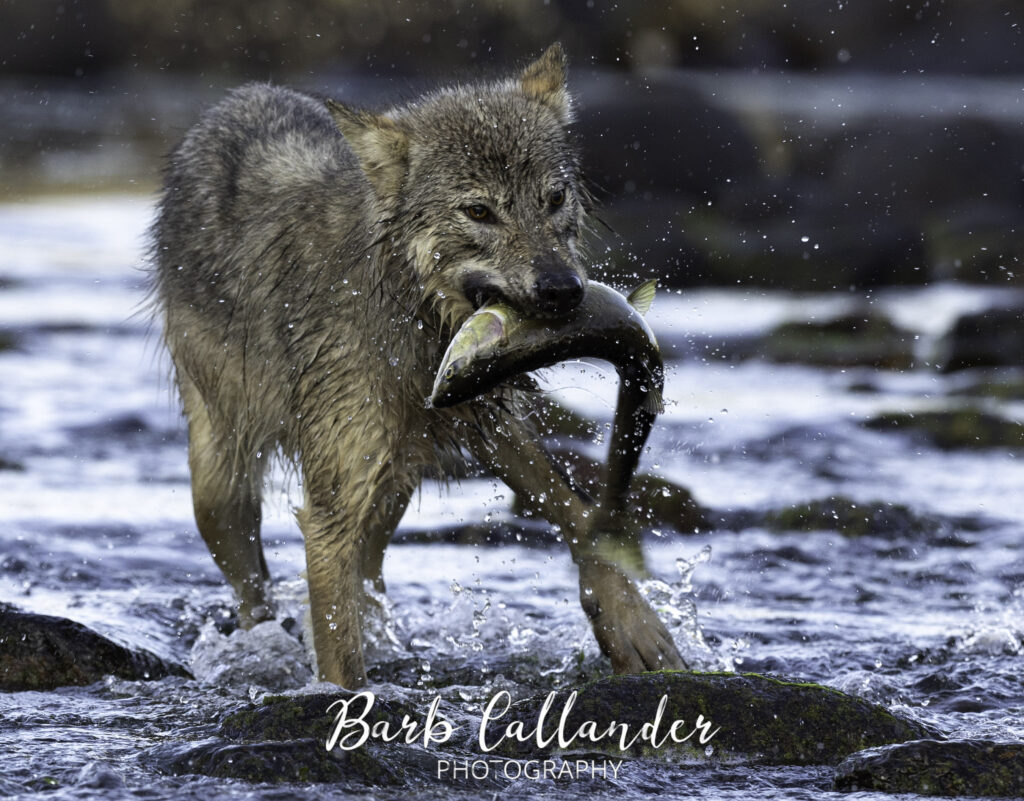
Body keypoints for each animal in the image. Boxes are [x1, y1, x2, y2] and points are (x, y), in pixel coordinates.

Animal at [150, 43, 684, 687]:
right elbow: (340, 656)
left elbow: (573, 510)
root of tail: (237, 99)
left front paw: (632, 623)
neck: (414, 317)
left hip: (395, 488)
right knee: (255, 594)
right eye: (478, 211)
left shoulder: (485, 417)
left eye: (554, 199)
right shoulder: (331, 506)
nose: (563, 290)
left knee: (370, 577)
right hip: (221, 489)